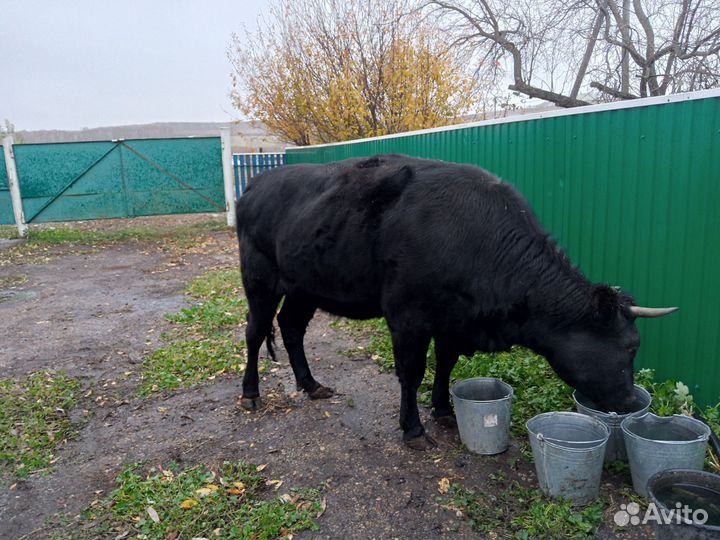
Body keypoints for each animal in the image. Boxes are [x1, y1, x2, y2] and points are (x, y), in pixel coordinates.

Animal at [235, 154, 677, 450]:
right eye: (630, 347)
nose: (629, 402)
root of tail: (257, 182)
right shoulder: (407, 315)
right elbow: (412, 372)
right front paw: (413, 430)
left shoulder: (452, 319)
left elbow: (445, 364)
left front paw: (444, 410)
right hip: (259, 277)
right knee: (255, 332)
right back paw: (251, 393)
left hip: (305, 286)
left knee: (291, 327)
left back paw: (311, 385)